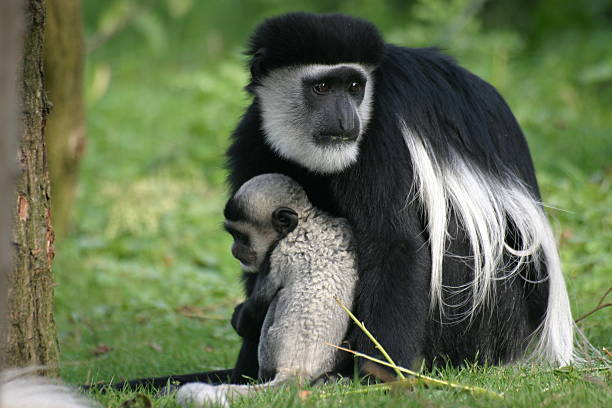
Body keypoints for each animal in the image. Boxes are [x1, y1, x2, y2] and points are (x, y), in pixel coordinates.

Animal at [176, 173, 358, 408]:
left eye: (241, 237)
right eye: (233, 235)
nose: (234, 251)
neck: (307, 220)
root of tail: (295, 370)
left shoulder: (276, 256)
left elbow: (254, 310)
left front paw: (238, 316)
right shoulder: (343, 226)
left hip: (269, 349)